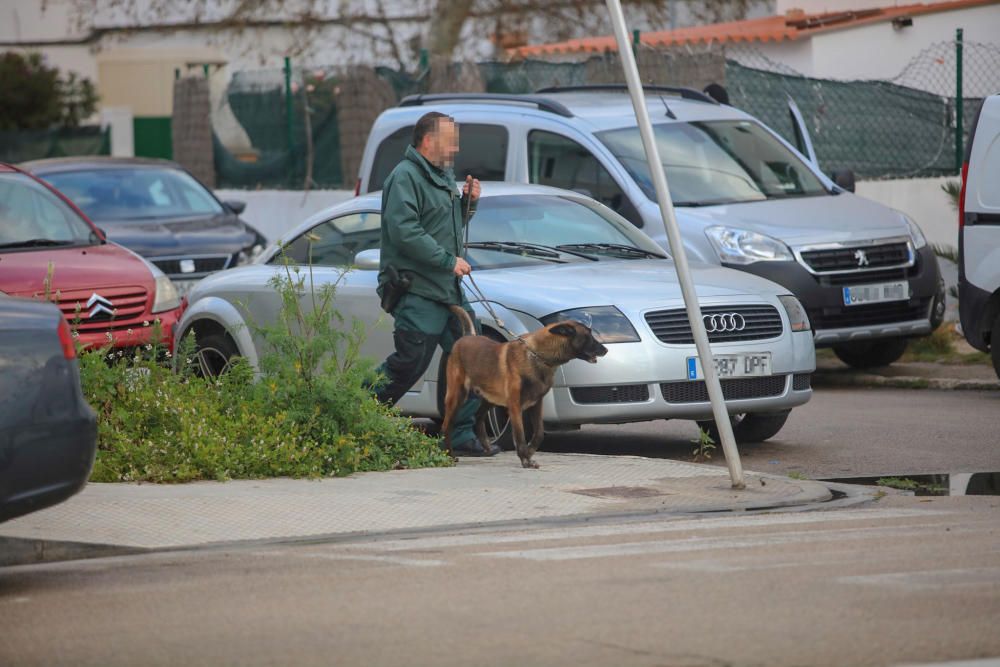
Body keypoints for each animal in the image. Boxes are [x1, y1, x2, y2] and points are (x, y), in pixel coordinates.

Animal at [446, 308, 608, 470]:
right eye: (587, 336)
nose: (605, 350)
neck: (536, 355)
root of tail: (467, 336)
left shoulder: (536, 405)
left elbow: (539, 433)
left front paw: (529, 452)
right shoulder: (515, 406)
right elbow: (520, 436)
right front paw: (525, 458)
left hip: (490, 399)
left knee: (478, 417)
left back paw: (486, 448)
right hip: (457, 397)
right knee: (447, 425)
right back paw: (449, 455)